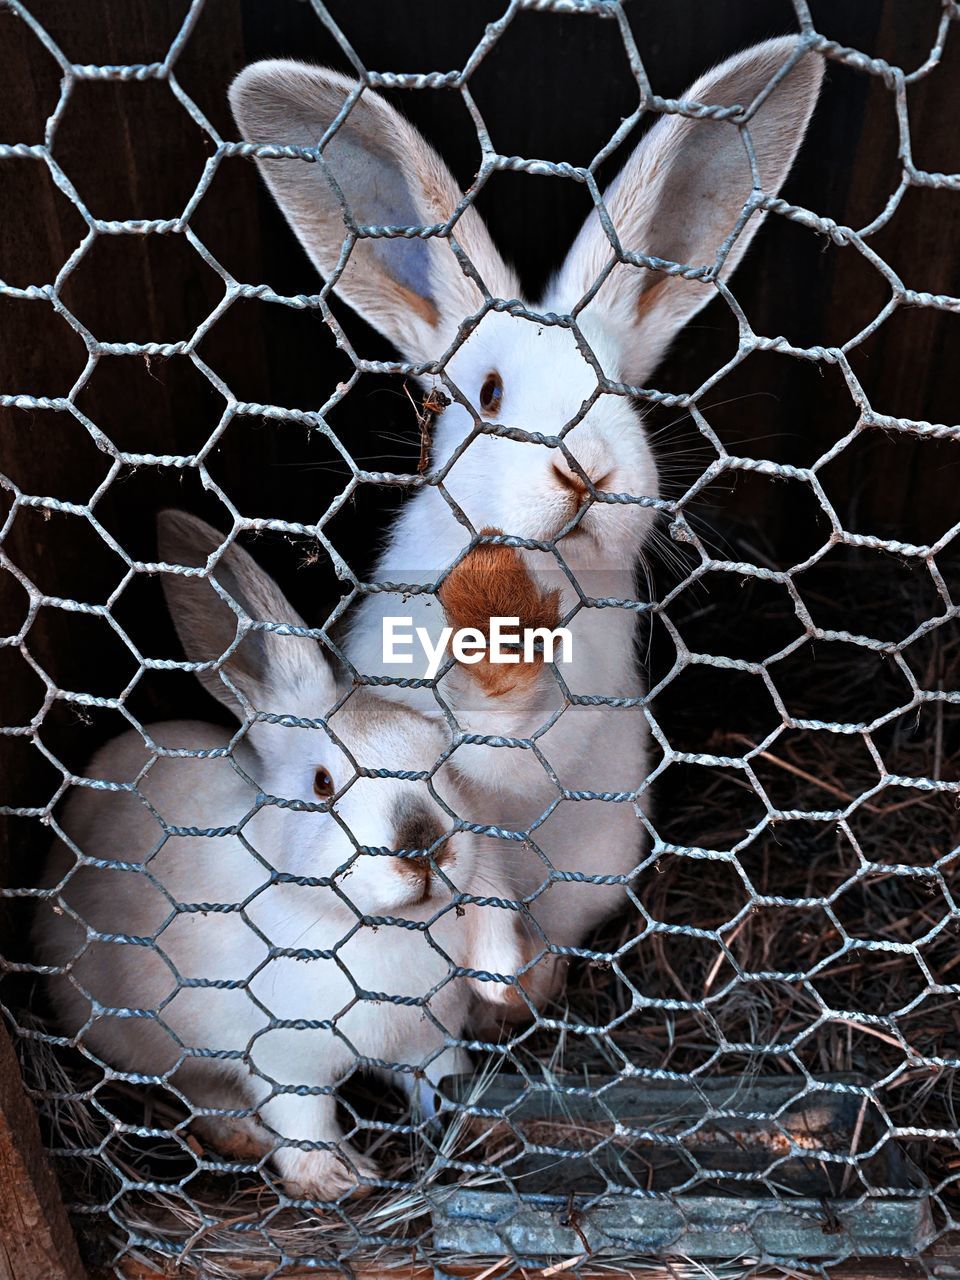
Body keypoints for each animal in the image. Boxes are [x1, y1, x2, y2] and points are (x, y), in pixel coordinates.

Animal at [32, 509, 555, 1198]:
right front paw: (339, 1178)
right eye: (323, 784)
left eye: (443, 765)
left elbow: (446, 1067)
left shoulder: (428, 1037)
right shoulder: (284, 1062)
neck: (378, 929)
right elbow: (303, 1120)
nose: (422, 845)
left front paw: (478, 1106)